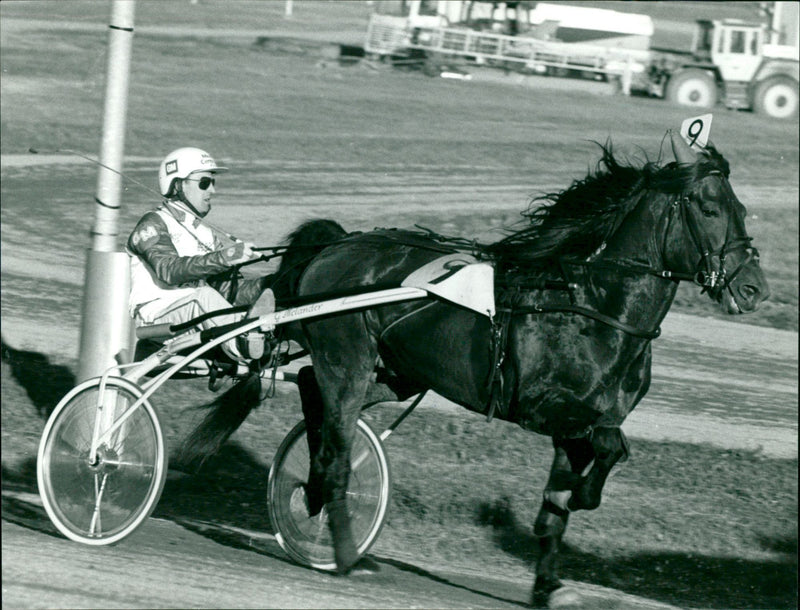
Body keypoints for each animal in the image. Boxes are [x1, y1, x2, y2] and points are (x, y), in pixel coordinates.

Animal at [186, 132, 768, 604]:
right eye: (708, 207)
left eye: (740, 207)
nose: (753, 288)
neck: (592, 307)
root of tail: (339, 244)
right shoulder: (545, 408)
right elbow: (608, 448)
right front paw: (586, 495)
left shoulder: (581, 420)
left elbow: (562, 499)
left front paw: (547, 583)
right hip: (349, 362)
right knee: (335, 452)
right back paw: (345, 549)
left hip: (395, 373)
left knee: (312, 389)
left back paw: (309, 489)